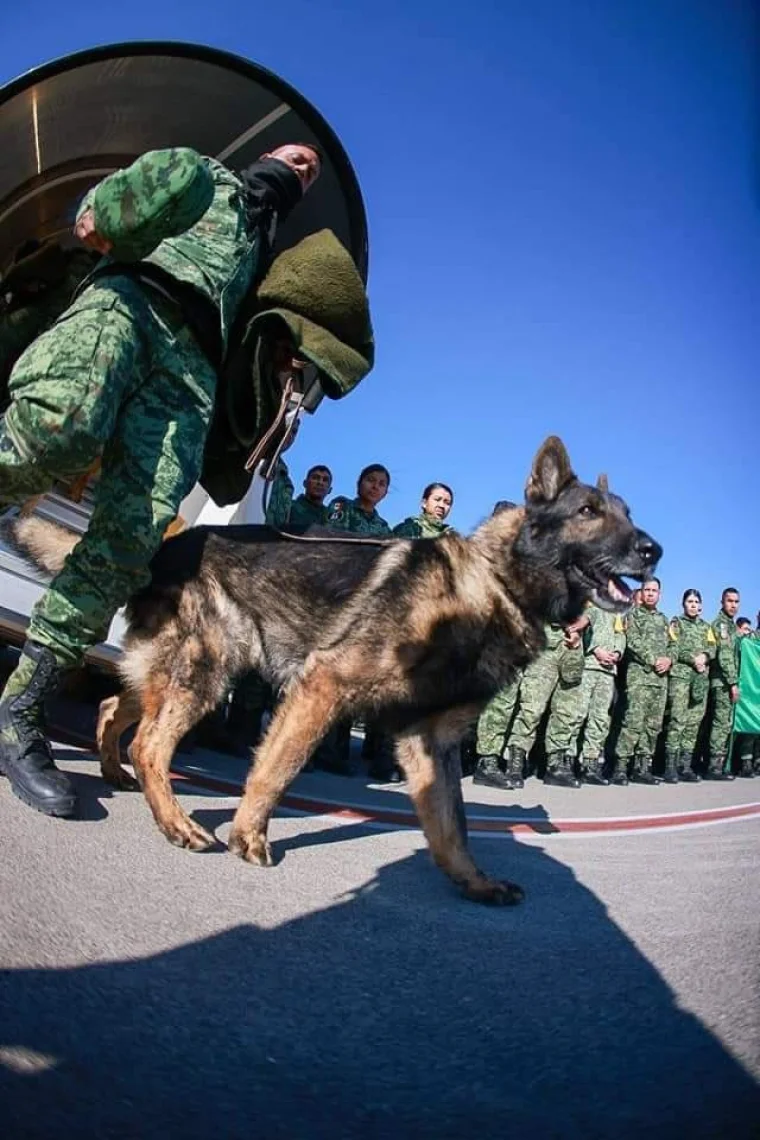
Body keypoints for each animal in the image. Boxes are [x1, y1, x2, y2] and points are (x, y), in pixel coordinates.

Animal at [7, 437, 660, 907]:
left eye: (628, 515)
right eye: (588, 512)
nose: (653, 550)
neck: (495, 583)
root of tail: (165, 547)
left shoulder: (430, 742)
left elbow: (452, 824)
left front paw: (474, 882)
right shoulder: (324, 686)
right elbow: (276, 770)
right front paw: (249, 837)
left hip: (182, 671)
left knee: (114, 706)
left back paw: (116, 773)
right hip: (209, 669)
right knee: (150, 742)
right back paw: (174, 822)